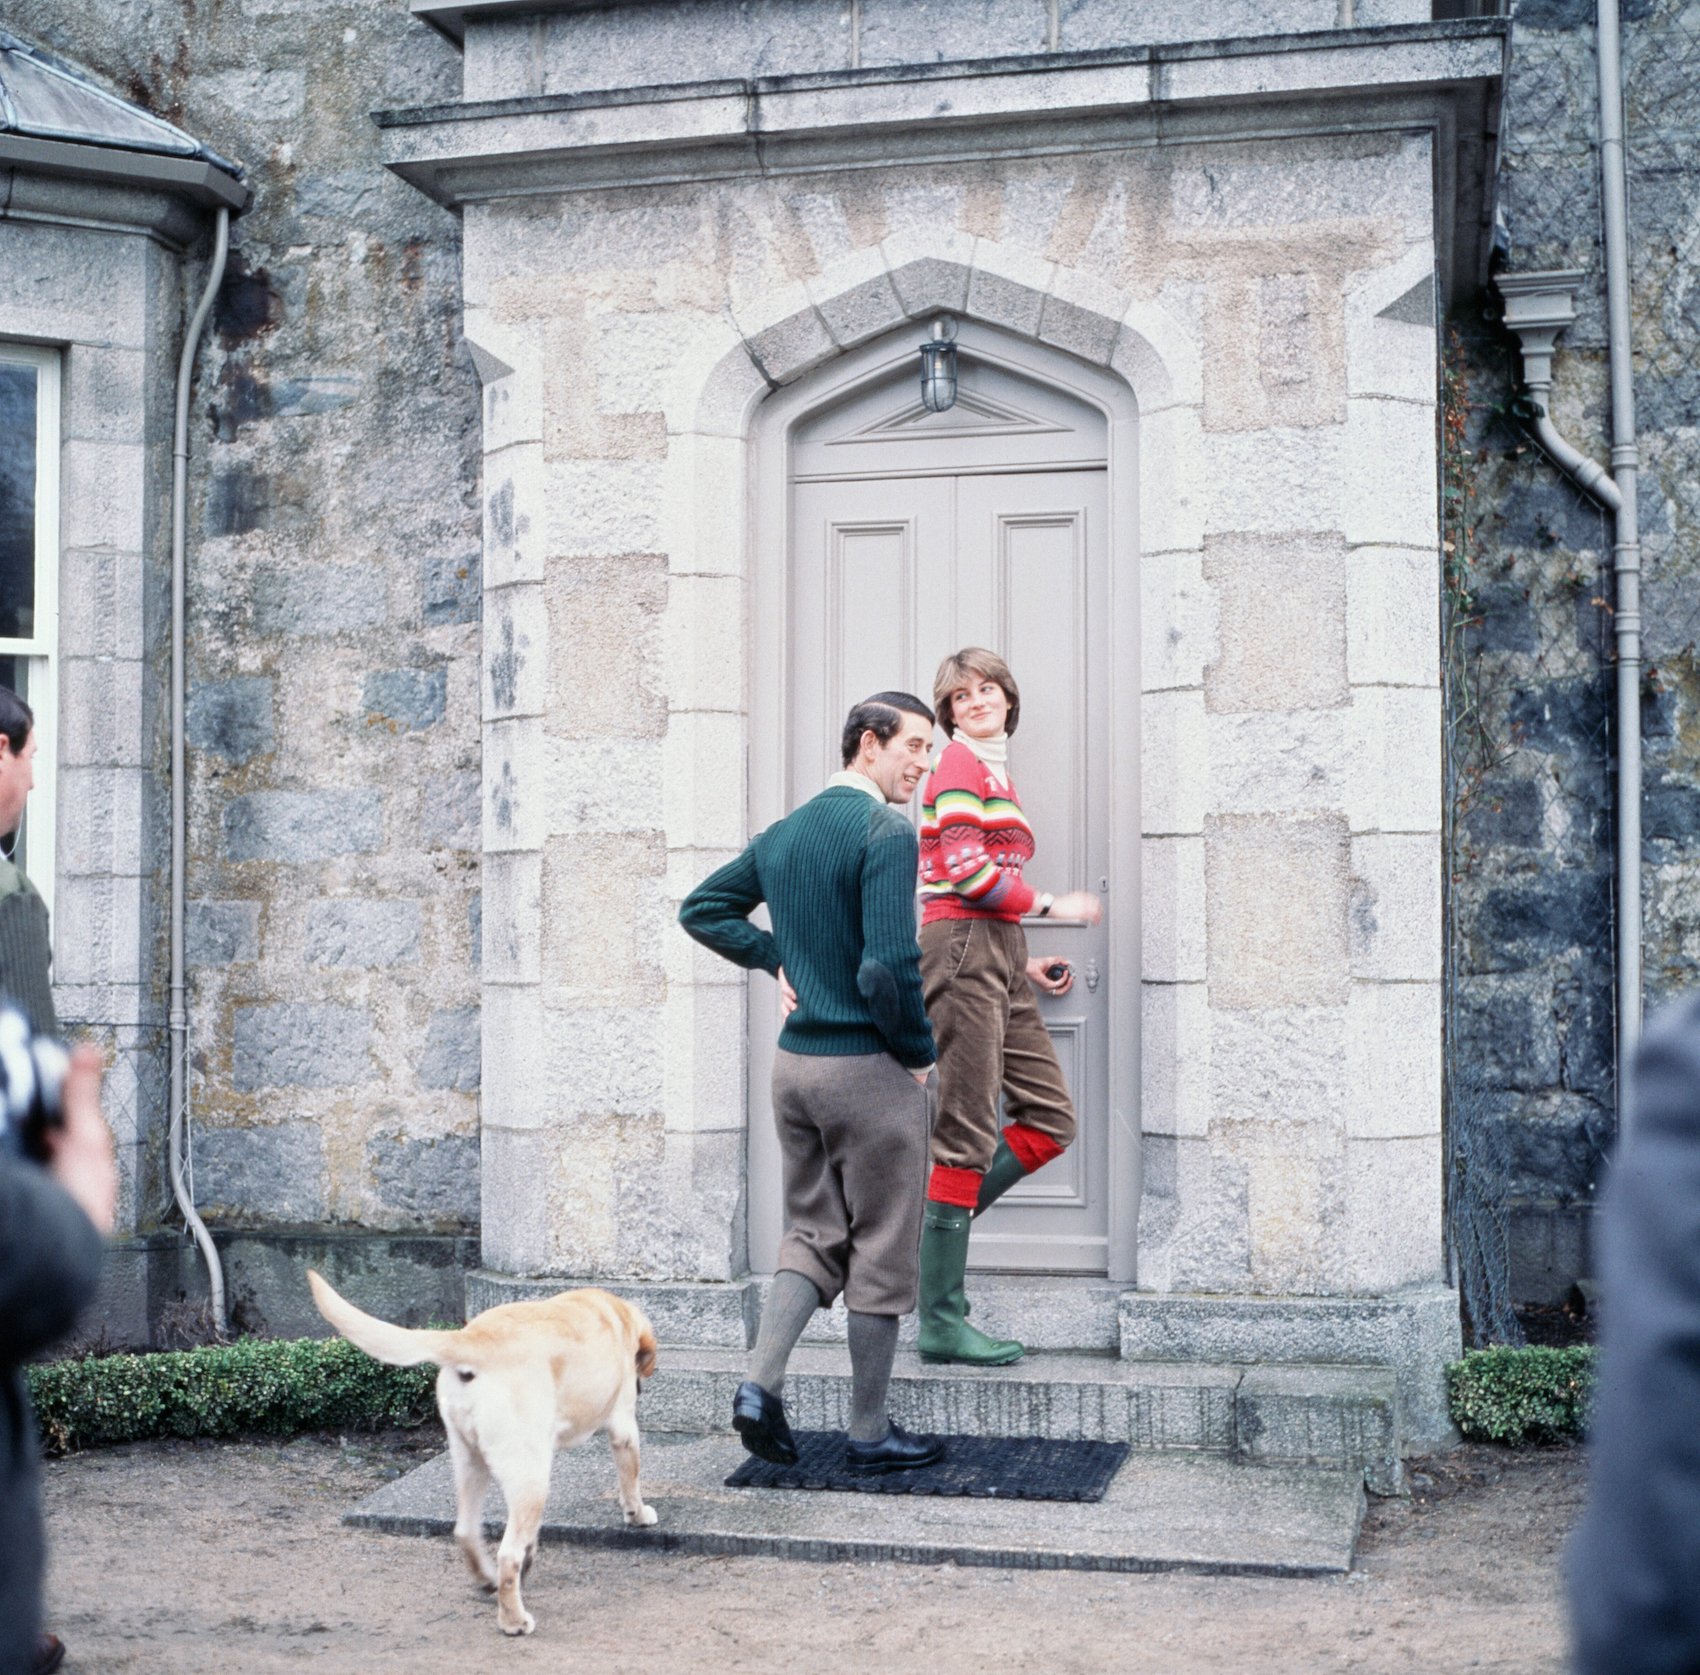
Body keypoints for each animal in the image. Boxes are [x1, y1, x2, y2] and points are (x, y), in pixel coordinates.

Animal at [306, 1265, 656, 1632]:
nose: (641, 1384)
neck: (611, 1312)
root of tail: (471, 1338)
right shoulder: (623, 1426)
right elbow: (631, 1477)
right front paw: (637, 1514)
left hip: (472, 1463)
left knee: (466, 1532)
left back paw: (489, 1579)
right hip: (531, 1478)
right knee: (507, 1555)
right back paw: (513, 1620)